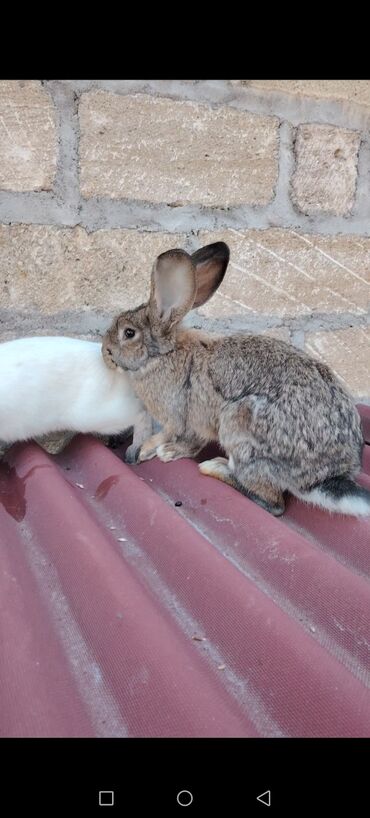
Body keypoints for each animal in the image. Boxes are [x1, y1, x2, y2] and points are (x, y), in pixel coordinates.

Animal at [102, 239, 370, 516]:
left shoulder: (180, 417)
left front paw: (153, 450)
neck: (163, 355)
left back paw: (216, 468)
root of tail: (323, 477)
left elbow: (176, 436)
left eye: (129, 333)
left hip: (240, 426)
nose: (105, 350)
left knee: (273, 502)